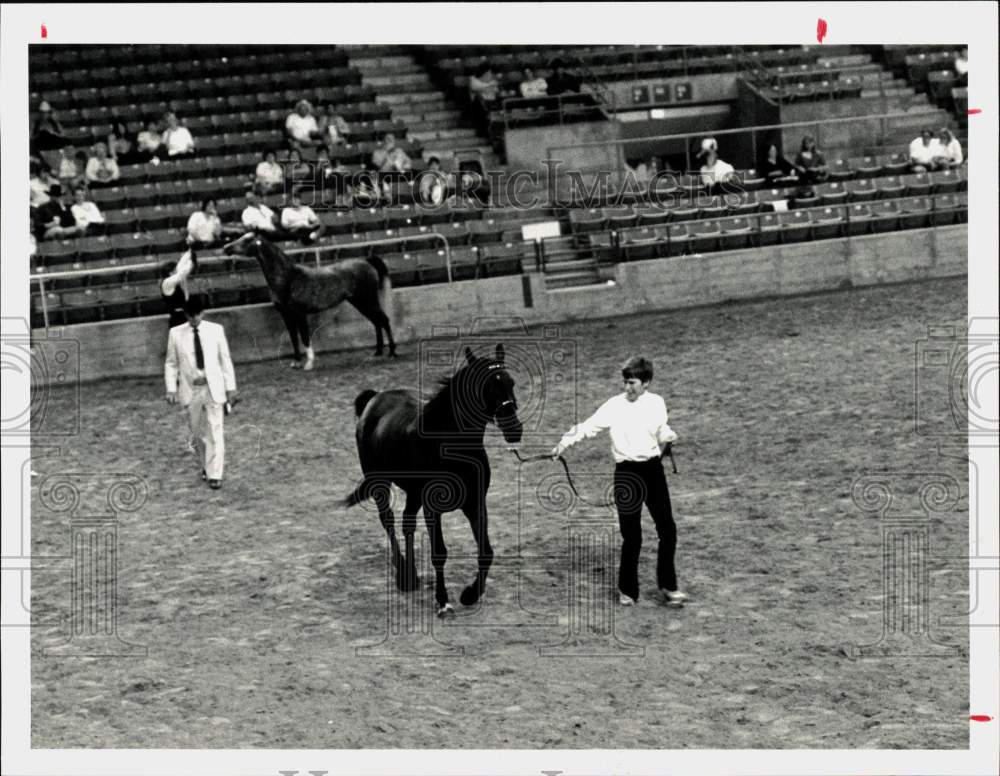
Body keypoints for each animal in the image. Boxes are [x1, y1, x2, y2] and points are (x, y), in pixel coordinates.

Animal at [223, 230, 394, 370]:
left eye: (247, 240)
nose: (226, 248)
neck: (287, 278)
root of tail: (366, 261)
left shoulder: (300, 314)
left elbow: (305, 337)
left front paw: (309, 364)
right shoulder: (286, 315)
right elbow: (293, 337)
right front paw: (296, 363)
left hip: (368, 300)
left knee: (383, 320)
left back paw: (392, 352)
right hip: (360, 303)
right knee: (376, 322)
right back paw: (377, 352)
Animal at [342, 346, 520, 620]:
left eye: (510, 382)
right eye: (488, 387)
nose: (515, 429)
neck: (452, 447)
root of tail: (374, 399)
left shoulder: (475, 504)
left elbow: (486, 552)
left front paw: (470, 595)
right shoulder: (432, 508)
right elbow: (440, 553)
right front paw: (444, 602)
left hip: (413, 493)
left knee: (407, 523)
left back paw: (412, 576)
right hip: (379, 483)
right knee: (389, 521)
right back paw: (403, 575)